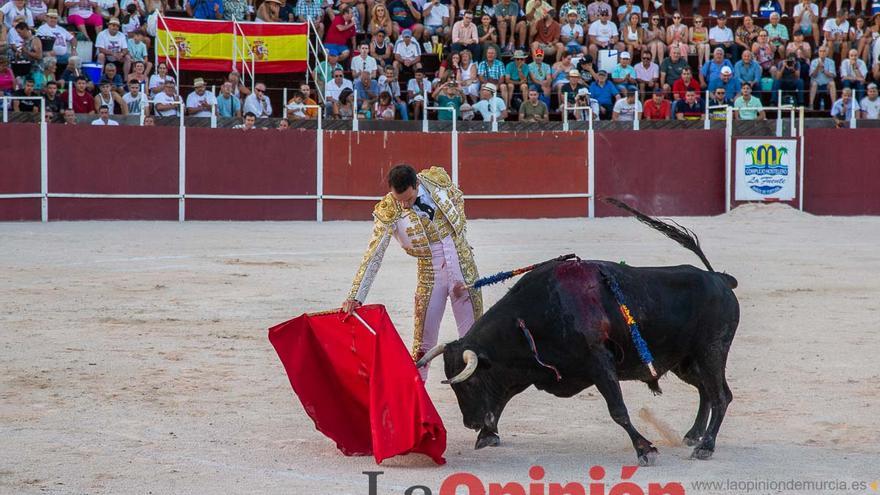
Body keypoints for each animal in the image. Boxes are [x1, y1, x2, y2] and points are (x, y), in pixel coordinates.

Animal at [416, 200, 740, 466]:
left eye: (469, 384)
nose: (470, 423)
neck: (535, 314)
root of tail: (719, 279)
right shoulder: (530, 366)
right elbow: (504, 396)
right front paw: (487, 434)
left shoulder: (598, 362)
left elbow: (618, 409)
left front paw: (645, 449)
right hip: (685, 361)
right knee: (705, 390)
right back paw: (694, 435)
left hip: (711, 351)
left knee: (721, 394)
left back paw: (706, 446)